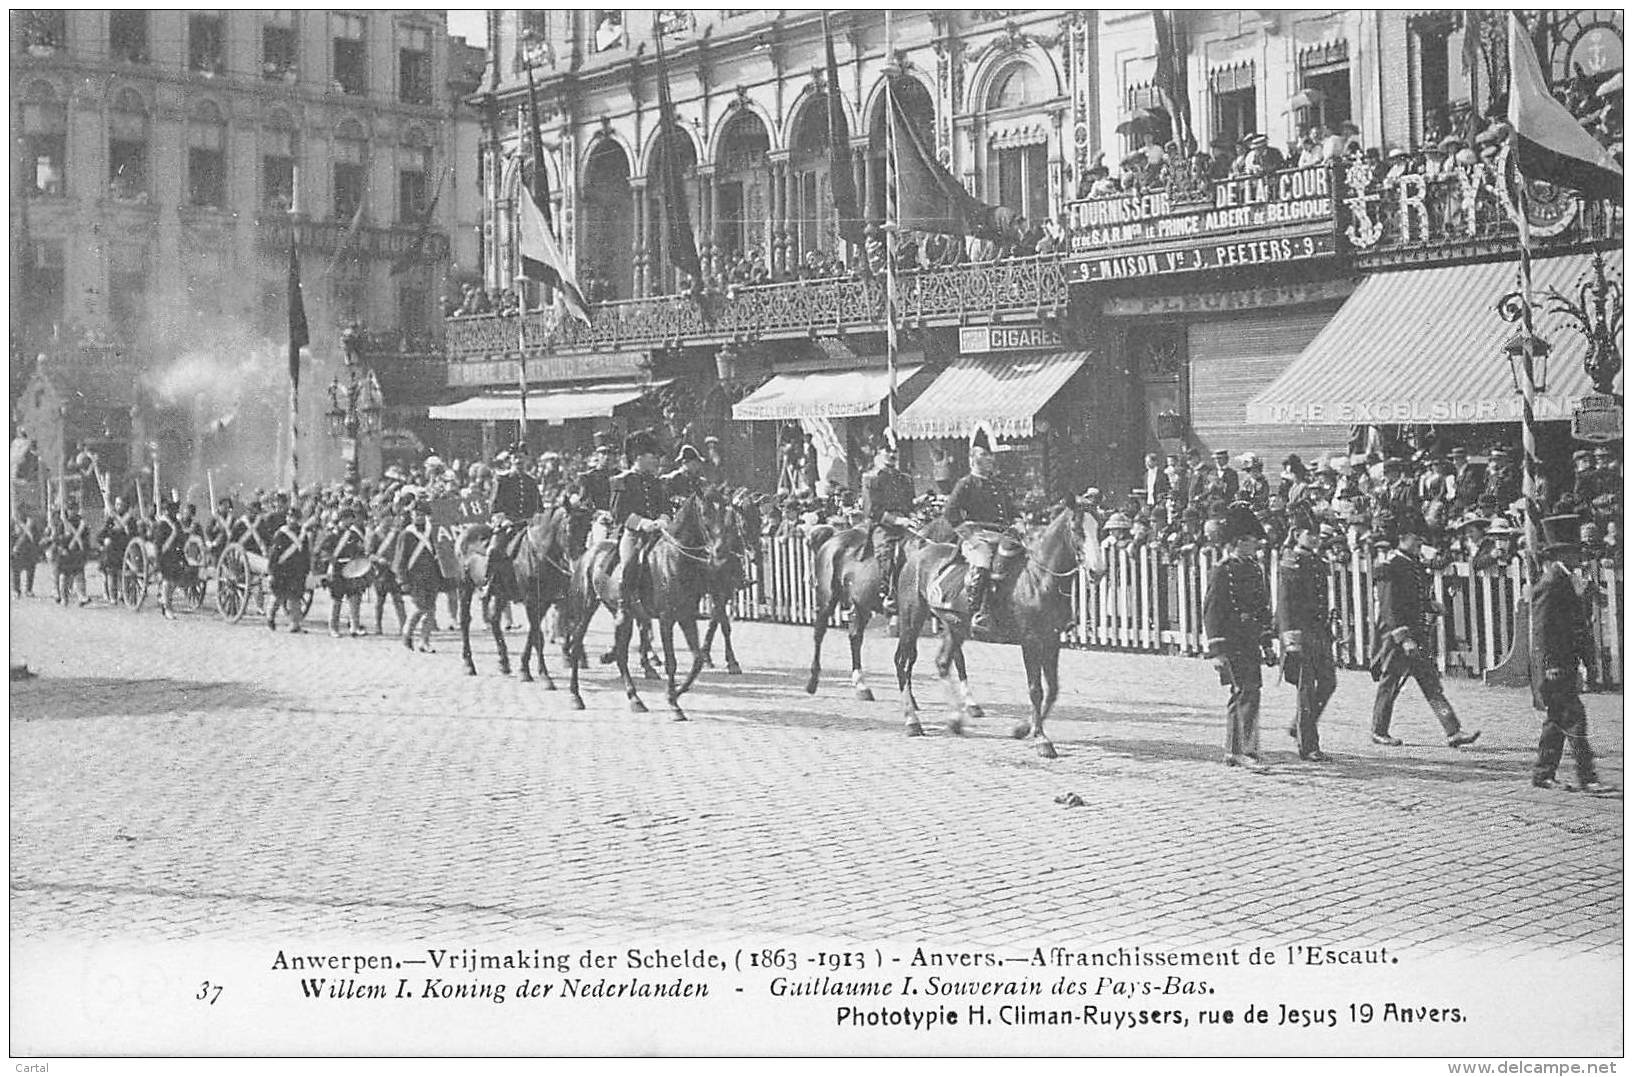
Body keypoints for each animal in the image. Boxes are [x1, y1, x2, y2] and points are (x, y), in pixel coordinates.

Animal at [561, 499, 715, 724]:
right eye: (704, 513)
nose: (718, 550)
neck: (674, 559)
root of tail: (588, 553)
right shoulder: (667, 619)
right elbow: (671, 662)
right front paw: (673, 704)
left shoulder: (686, 616)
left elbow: (697, 660)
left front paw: (676, 693)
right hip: (586, 609)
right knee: (578, 643)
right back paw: (575, 695)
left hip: (623, 615)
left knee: (621, 654)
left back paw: (634, 697)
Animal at [894, 499, 1110, 757]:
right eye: (1077, 529)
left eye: (1100, 529)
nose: (1098, 571)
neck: (1038, 579)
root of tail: (918, 553)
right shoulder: (1031, 642)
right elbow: (1036, 690)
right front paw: (1041, 739)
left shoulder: (1052, 641)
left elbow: (1053, 690)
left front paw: (1023, 728)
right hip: (911, 620)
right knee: (902, 662)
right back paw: (912, 721)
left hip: (955, 627)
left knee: (943, 663)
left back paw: (955, 720)